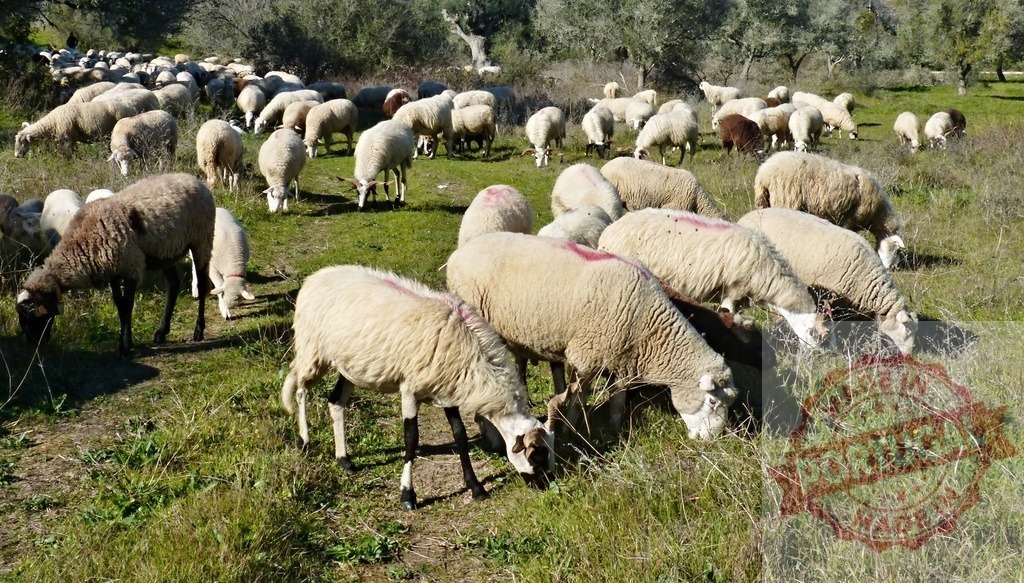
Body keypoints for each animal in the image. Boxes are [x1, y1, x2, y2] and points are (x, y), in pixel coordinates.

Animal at [15, 173, 215, 357]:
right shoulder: (114, 272)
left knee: (201, 283)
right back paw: (161, 333)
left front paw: (125, 346)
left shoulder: (131, 267)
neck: (82, 242)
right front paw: (126, 341)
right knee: (173, 284)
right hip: (165, 252)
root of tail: (193, 179)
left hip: (201, 240)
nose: (34, 345)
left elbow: (127, 305)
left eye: (29, 316)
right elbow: (120, 305)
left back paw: (198, 330)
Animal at [280, 264, 554, 509]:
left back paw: (344, 460)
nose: (546, 487)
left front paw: (476, 487)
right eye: (536, 455)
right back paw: (304, 440)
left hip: (350, 366)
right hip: (312, 349)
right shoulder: (410, 391)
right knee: (300, 388)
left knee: (336, 401)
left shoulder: (448, 391)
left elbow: (460, 435)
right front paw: (407, 496)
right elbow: (411, 439)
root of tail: (316, 276)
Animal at [446, 232, 738, 440]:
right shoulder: (585, 357)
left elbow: (618, 400)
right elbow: (579, 397)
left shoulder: (623, 360)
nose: (712, 441)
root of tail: (459, 253)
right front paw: (572, 428)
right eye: (712, 401)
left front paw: (615, 427)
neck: (650, 326)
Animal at [753, 151, 904, 269]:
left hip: (764, 202)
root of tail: (763, 173)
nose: (894, 267)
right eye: (897, 250)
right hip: (785, 200)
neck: (877, 214)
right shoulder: (849, 220)